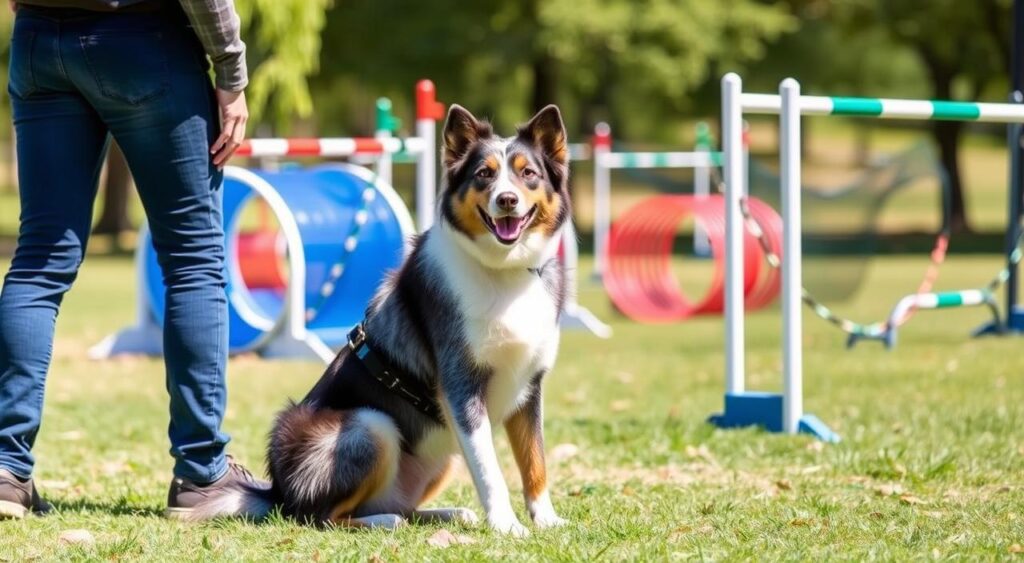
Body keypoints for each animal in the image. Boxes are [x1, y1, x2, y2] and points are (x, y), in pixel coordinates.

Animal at [190, 105, 577, 540]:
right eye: (484, 174)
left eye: (529, 174)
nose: (507, 199)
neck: (502, 271)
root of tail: (278, 491)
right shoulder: (461, 387)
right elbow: (489, 468)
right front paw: (508, 526)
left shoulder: (529, 387)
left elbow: (535, 462)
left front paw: (547, 520)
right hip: (369, 426)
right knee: (320, 516)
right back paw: (383, 521)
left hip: (436, 454)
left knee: (403, 505)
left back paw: (447, 513)